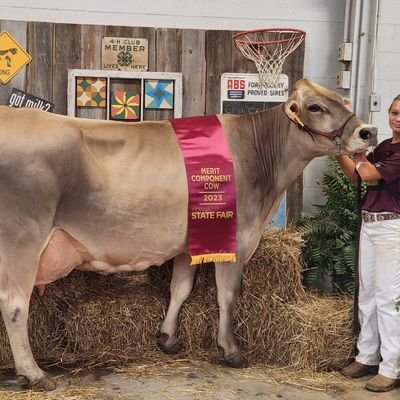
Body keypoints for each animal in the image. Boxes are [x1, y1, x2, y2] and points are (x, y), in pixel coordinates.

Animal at [0, 77, 376, 388]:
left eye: (343, 99)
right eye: (315, 107)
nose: (368, 132)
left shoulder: (192, 240)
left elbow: (180, 288)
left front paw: (167, 339)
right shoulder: (237, 238)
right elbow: (227, 295)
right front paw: (231, 350)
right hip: (23, 238)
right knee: (15, 305)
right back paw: (34, 374)